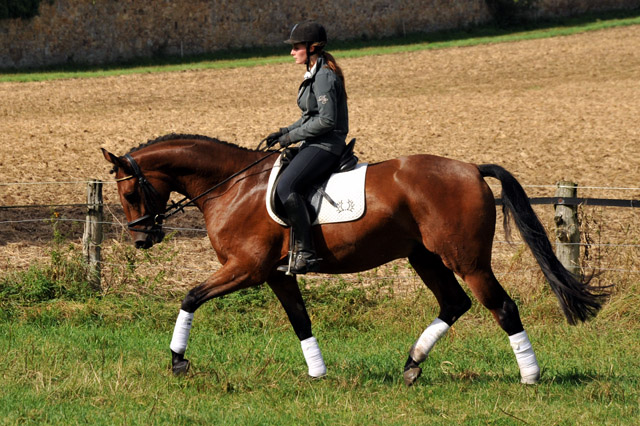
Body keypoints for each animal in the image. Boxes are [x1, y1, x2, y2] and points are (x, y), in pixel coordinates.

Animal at [102, 133, 608, 386]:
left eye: (129, 193)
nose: (142, 239)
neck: (232, 186)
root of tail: (469, 168)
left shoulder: (246, 269)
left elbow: (190, 297)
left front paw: (177, 361)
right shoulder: (277, 275)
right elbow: (300, 320)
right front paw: (317, 372)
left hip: (467, 260)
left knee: (501, 307)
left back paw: (530, 376)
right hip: (424, 257)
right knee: (454, 304)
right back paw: (412, 365)